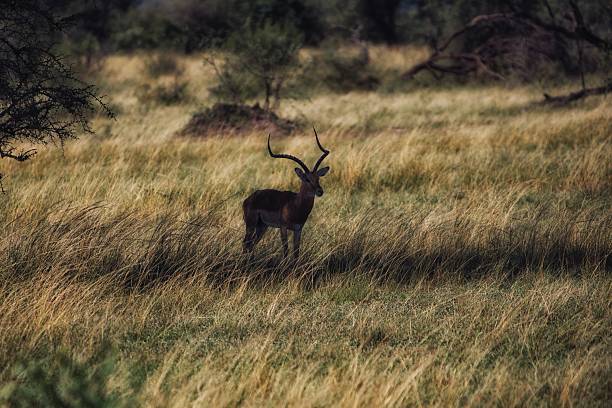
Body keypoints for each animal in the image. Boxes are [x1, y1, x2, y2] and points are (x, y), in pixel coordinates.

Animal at [243, 129, 330, 260]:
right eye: (307, 179)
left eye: (318, 178)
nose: (320, 191)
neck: (296, 205)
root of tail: (249, 199)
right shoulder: (283, 228)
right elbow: (286, 251)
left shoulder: (298, 229)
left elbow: (296, 252)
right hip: (251, 225)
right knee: (245, 244)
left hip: (262, 226)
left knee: (251, 244)